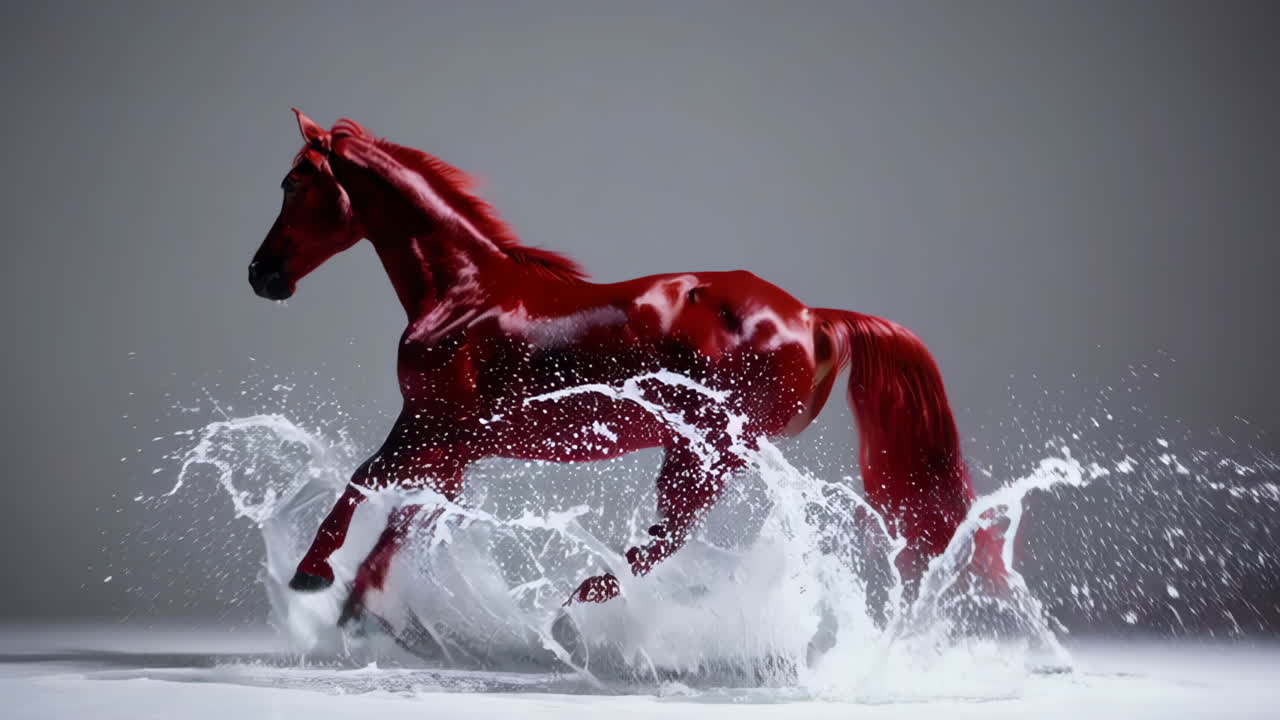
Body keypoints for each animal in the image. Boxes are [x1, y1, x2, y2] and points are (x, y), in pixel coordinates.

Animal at [248, 110, 993, 621]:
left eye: (293, 183)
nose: (261, 275)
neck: (463, 293)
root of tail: (810, 317)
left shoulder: (431, 426)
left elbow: (362, 481)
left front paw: (314, 575)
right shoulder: (455, 447)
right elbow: (406, 521)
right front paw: (356, 610)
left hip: (707, 454)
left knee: (663, 542)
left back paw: (573, 605)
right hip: (703, 456)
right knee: (661, 542)